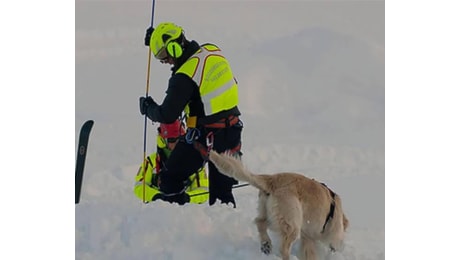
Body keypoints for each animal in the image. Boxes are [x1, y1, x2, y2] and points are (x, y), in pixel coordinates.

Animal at [208, 150, 348, 260]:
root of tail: (272, 180)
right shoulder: (334, 234)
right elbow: (334, 244)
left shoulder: (308, 238)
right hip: (291, 221)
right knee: (283, 248)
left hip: (270, 212)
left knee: (260, 222)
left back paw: (266, 245)